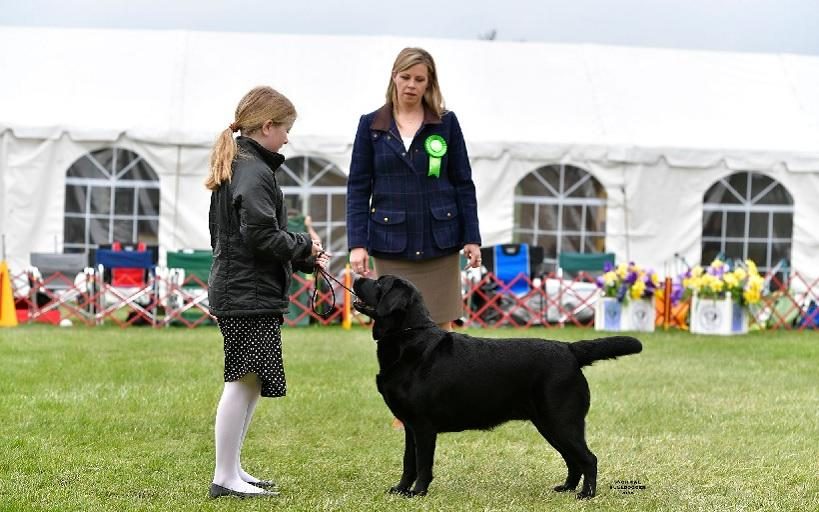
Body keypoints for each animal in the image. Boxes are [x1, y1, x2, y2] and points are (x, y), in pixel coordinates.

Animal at [356, 274, 644, 498]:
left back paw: (586, 495)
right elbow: (408, 462)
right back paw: (567, 488)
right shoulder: (410, 426)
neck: (408, 338)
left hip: (562, 421)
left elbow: (423, 464)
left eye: (379, 282)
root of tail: (569, 349)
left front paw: (418, 492)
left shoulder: (424, 426)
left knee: (588, 458)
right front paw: (401, 489)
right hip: (549, 425)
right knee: (573, 459)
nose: (357, 277)